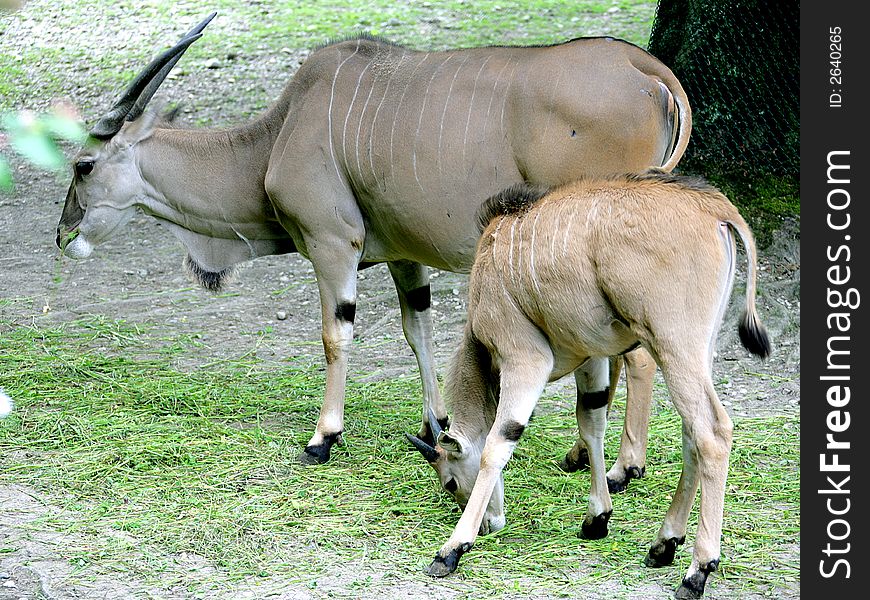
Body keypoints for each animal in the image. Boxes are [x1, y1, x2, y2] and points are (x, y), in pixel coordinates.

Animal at [58, 11, 692, 466]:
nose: (63, 233)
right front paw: (434, 424)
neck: (277, 135)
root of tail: (647, 70)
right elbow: (419, 333)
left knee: (638, 356)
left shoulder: (332, 245)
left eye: (83, 166)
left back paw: (619, 467)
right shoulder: (405, 258)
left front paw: (323, 438)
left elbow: (335, 335)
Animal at [408, 170, 768, 600]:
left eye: (449, 482)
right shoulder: (591, 358)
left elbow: (498, 442)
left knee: (712, 433)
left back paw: (697, 570)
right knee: (692, 434)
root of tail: (715, 208)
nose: (489, 524)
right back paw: (664, 543)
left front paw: (452, 549)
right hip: (697, 352)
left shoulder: (525, 358)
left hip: (673, 347)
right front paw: (597, 518)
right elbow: (592, 422)